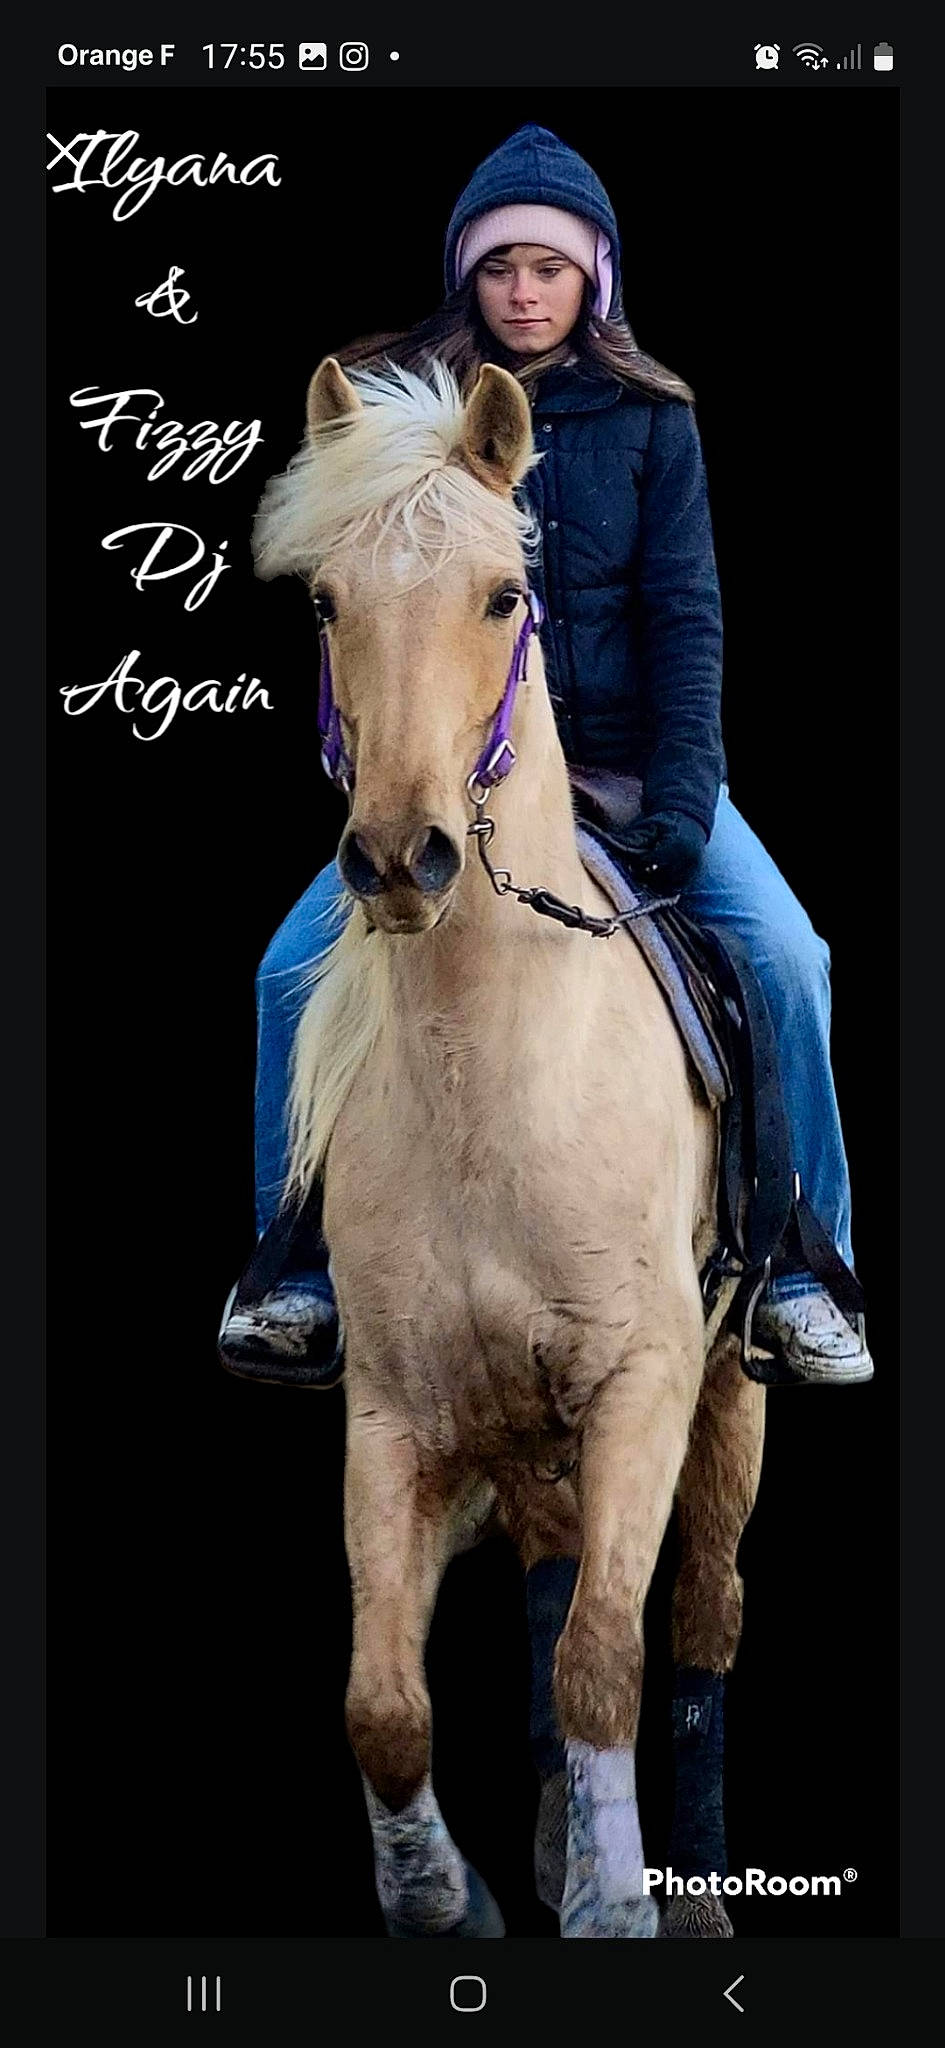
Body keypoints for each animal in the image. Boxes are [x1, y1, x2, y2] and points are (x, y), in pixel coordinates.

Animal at [251, 354, 766, 1939]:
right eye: (326, 602)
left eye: (500, 596)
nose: (399, 859)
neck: (495, 1079)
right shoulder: (391, 1415)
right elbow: (384, 1707)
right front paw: (443, 1902)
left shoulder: (649, 1385)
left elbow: (606, 1659)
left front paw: (617, 1907)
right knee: (546, 1586)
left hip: (731, 1399)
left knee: (702, 1619)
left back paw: (694, 1879)